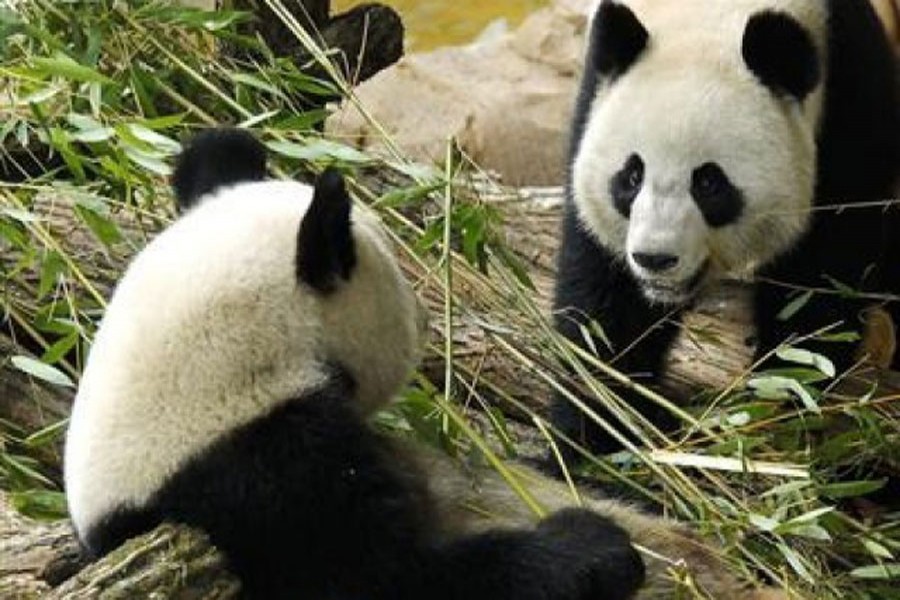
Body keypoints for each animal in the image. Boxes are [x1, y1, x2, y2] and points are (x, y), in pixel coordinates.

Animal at [553, 0, 900, 455]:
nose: (654, 259)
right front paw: (595, 433)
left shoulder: (851, 95)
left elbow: (821, 281)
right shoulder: (594, 98)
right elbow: (606, 306)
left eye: (709, 183)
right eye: (631, 176)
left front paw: (774, 407)